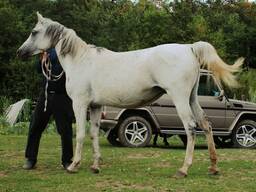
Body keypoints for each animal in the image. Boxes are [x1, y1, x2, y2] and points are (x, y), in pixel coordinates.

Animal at [17, 11, 242, 177]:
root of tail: (190, 48)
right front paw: (95, 166)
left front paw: (74, 165)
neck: (81, 60)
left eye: (34, 32)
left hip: (180, 99)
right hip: (192, 99)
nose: (20, 52)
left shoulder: (80, 104)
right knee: (206, 125)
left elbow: (80, 134)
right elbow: (93, 134)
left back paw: (183, 169)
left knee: (191, 128)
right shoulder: (96, 106)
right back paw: (213, 167)